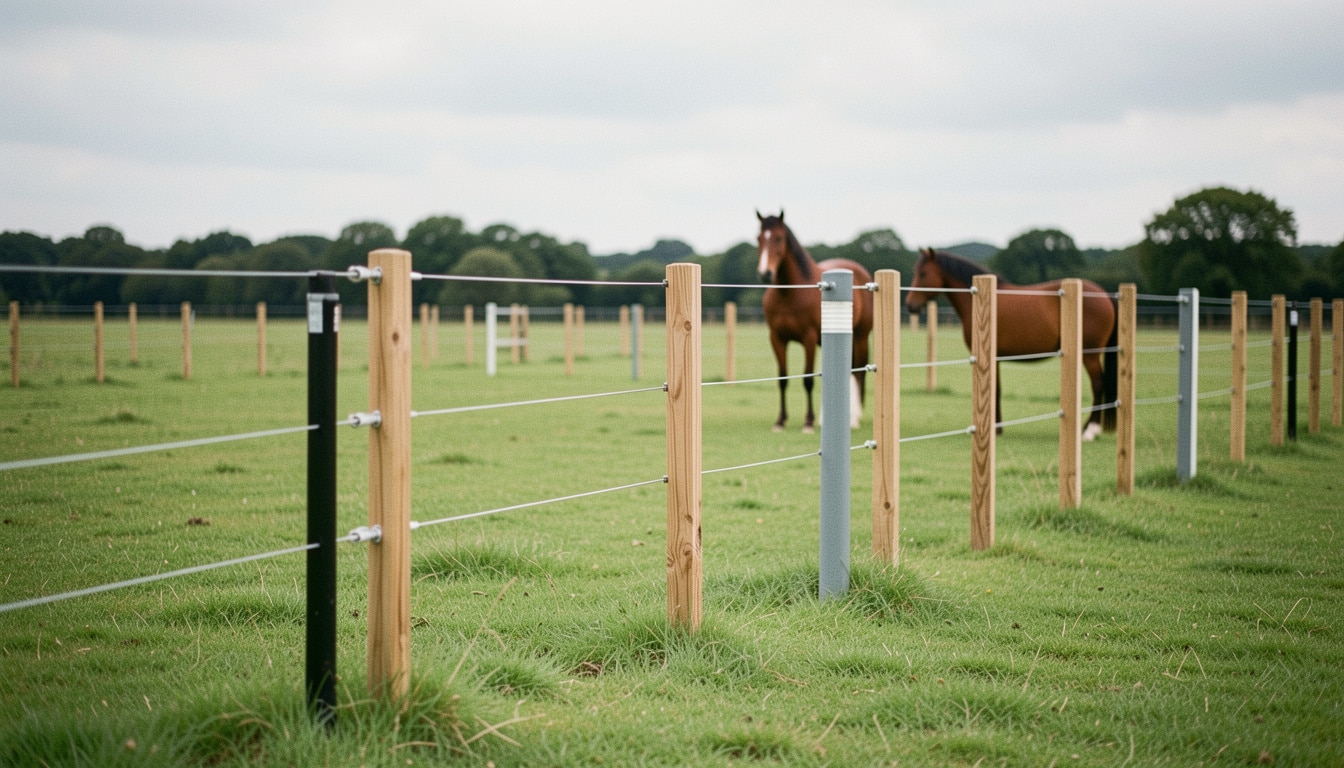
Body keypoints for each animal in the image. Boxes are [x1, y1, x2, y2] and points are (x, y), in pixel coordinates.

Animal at [757, 210, 874, 432]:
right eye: (758, 238)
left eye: (778, 238)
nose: (765, 273)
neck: (789, 293)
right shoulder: (777, 339)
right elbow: (782, 378)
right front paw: (780, 421)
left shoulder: (808, 338)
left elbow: (808, 379)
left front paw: (808, 422)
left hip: (860, 337)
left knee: (858, 372)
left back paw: (854, 418)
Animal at [904, 248, 1117, 441]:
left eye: (923, 273)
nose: (910, 305)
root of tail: (1104, 295)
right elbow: (997, 389)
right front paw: (997, 427)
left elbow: (994, 389)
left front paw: (995, 428)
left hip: (1089, 354)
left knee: (1098, 384)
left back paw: (1090, 430)